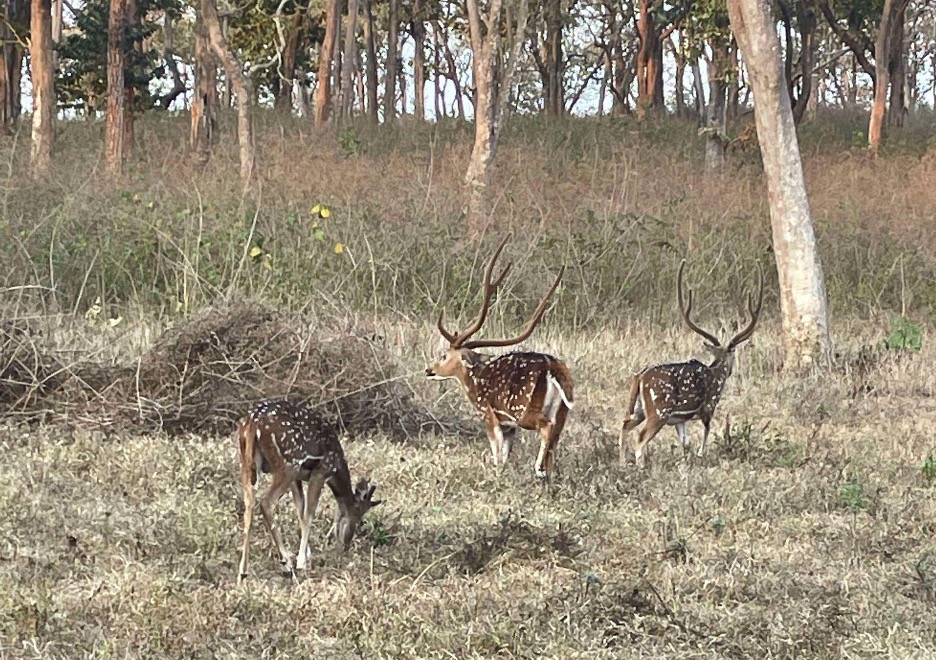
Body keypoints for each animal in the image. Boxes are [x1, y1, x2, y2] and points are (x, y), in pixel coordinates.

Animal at [236, 398, 382, 584]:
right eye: (357, 516)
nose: (346, 545)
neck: (336, 468)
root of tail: (252, 424)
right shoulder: (320, 471)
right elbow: (309, 513)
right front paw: (301, 562)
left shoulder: (297, 478)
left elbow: (300, 508)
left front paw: (307, 554)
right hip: (288, 464)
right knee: (265, 502)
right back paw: (286, 564)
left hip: (247, 463)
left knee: (249, 506)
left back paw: (242, 572)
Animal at [424, 237, 572, 480]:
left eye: (444, 355)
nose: (429, 370)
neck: (474, 381)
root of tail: (554, 367)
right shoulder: (508, 425)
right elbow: (504, 455)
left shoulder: (489, 413)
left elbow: (496, 451)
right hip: (562, 411)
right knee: (554, 441)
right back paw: (548, 475)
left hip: (524, 409)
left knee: (546, 428)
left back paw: (538, 470)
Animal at [616, 260, 764, 470]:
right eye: (732, 354)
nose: (730, 371)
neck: (716, 373)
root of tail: (640, 378)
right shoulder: (709, 406)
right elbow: (705, 434)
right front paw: (701, 456)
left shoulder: (680, 419)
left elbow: (685, 442)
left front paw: (686, 461)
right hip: (659, 410)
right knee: (640, 437)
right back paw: (641, 467)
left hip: (638, 410)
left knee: (624, 426)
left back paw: (622, 464)